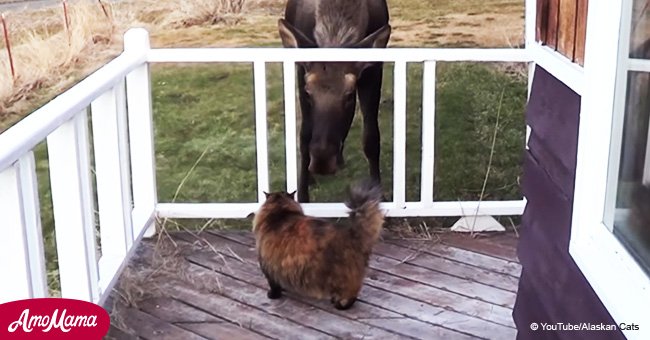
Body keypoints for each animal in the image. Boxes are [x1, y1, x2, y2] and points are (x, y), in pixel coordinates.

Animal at [274, 0, 388, 202]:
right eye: (308, 92)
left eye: (349, 94)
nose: (322, 161)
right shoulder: (301, 72)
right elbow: (304, 135)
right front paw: (302, 194)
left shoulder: (373, 72)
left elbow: (371, 138)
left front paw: (379, 196)